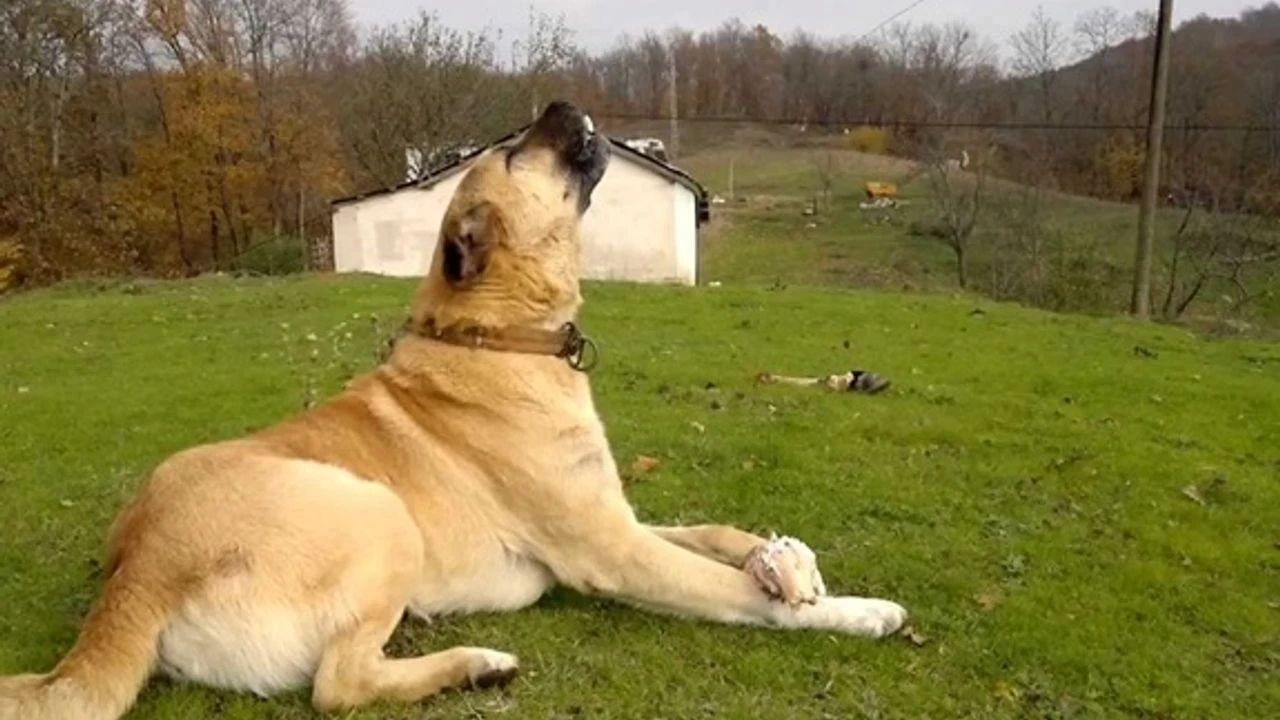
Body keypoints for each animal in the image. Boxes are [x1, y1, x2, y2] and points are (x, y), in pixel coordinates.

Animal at [0, 101, 906, 717]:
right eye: (513, 151)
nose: (557, 99)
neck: (500, 336)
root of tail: (136, 574)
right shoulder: (611, 551)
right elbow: (741, 596)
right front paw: (860, 610)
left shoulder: (611, 517)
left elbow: (717, 535)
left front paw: (784, 557)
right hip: (378, 514)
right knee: (337, 686)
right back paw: (477, 664)